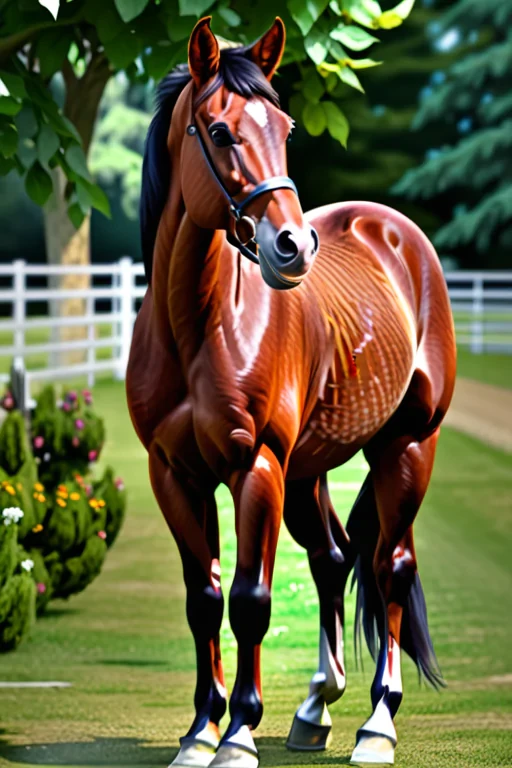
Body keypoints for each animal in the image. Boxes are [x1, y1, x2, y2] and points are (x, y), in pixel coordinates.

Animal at [126, 16, 456, 768]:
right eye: (220, 131)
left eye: (285, 127)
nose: (293, 247)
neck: (200, 326)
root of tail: (394, 230)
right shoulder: (175, 474)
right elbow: (203, 597)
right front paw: (201, 730)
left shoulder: (258, 468)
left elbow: (251, 597)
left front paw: (240, 734)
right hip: (309, 469)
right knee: (335, 558)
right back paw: (315, 707)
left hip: (406, 447)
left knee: (390, 566)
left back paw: (376, 724)